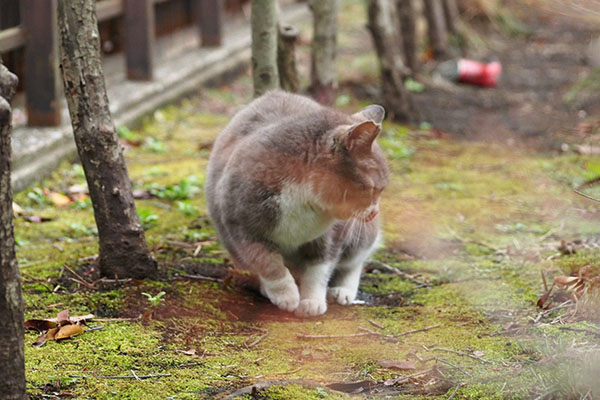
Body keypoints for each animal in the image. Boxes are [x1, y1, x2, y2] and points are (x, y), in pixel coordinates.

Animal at [205, 90, 390, 316]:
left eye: (380, 190)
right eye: (372, 189)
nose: (375, 212)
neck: (304, 202)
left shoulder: (332, 235)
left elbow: (320, 269)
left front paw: (312, 302)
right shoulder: (239, 226)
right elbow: (267, 262)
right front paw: (286, 295)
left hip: (360, 235)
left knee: (356, 259)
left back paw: (343, 291)